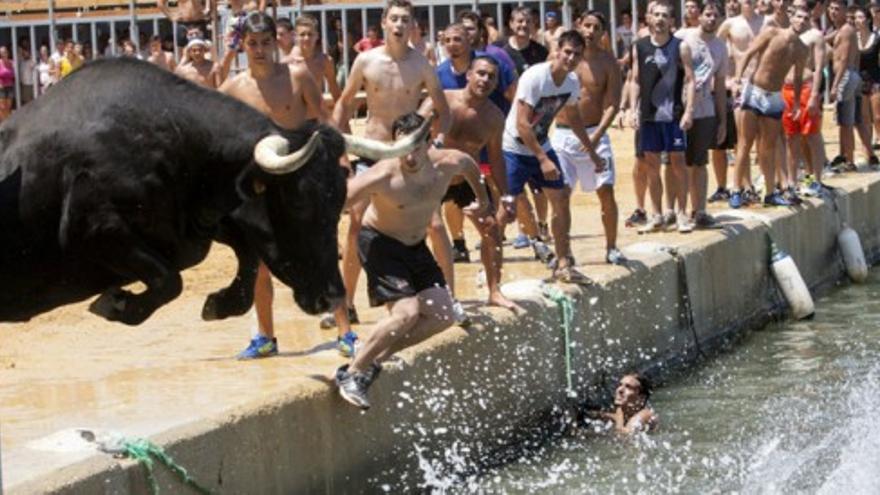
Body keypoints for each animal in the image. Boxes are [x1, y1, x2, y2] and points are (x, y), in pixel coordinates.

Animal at [0, 58, 358, 326]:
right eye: (298, 203)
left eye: (338, 203)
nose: (332, 296)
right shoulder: (94, 231)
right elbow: (170, 280)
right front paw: (115, 303)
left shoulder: (201, 225)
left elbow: (249, 261)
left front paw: (220, 303)